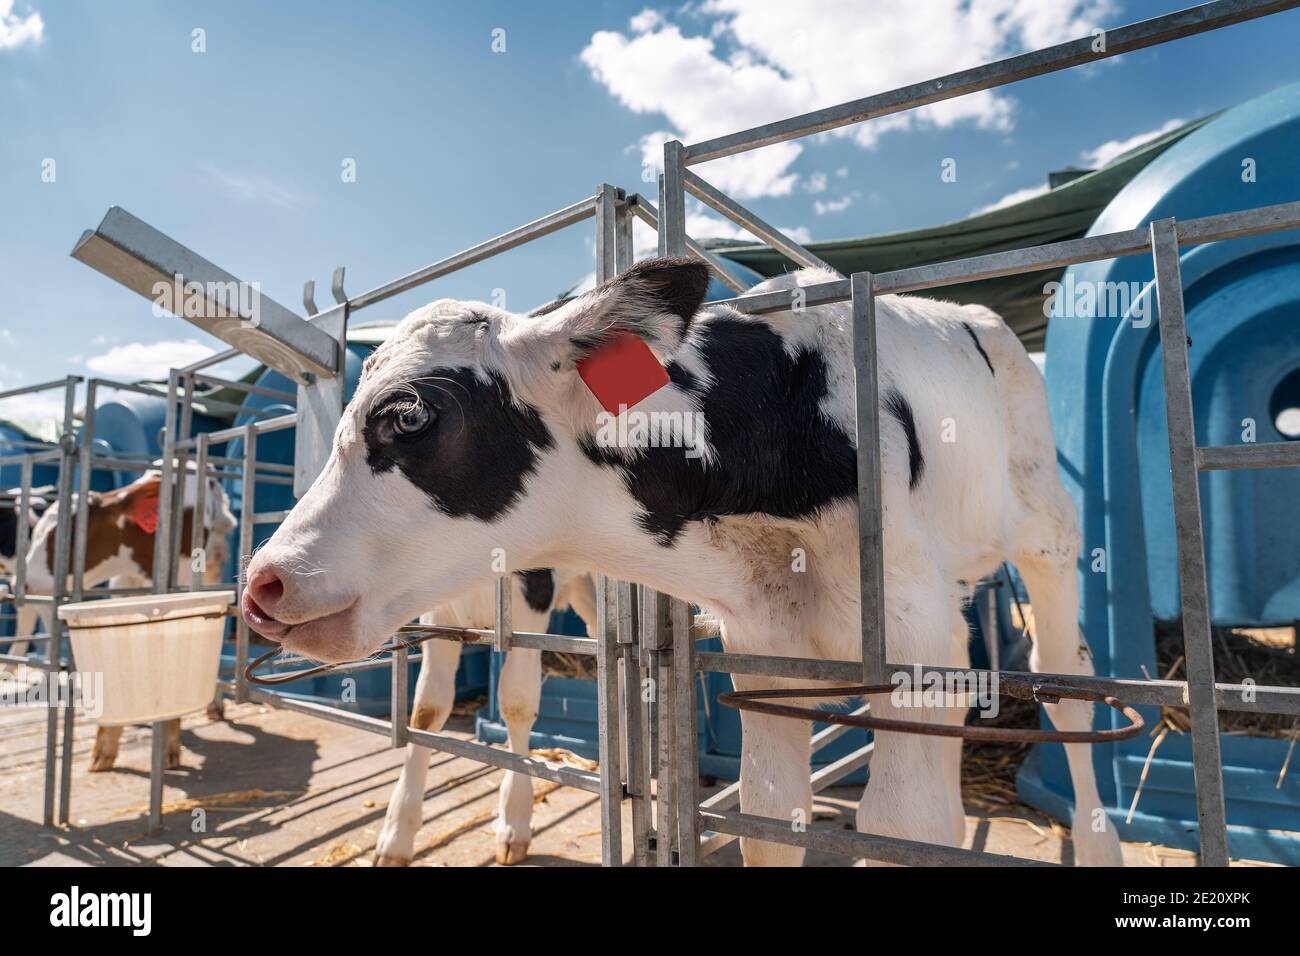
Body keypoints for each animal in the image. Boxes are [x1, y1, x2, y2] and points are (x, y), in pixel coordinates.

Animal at [374, 567, 595, 868]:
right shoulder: (438, 613)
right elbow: (428, 709)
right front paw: (397, 836)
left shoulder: (530, 601)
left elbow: (517, 702)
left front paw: (514, 823)